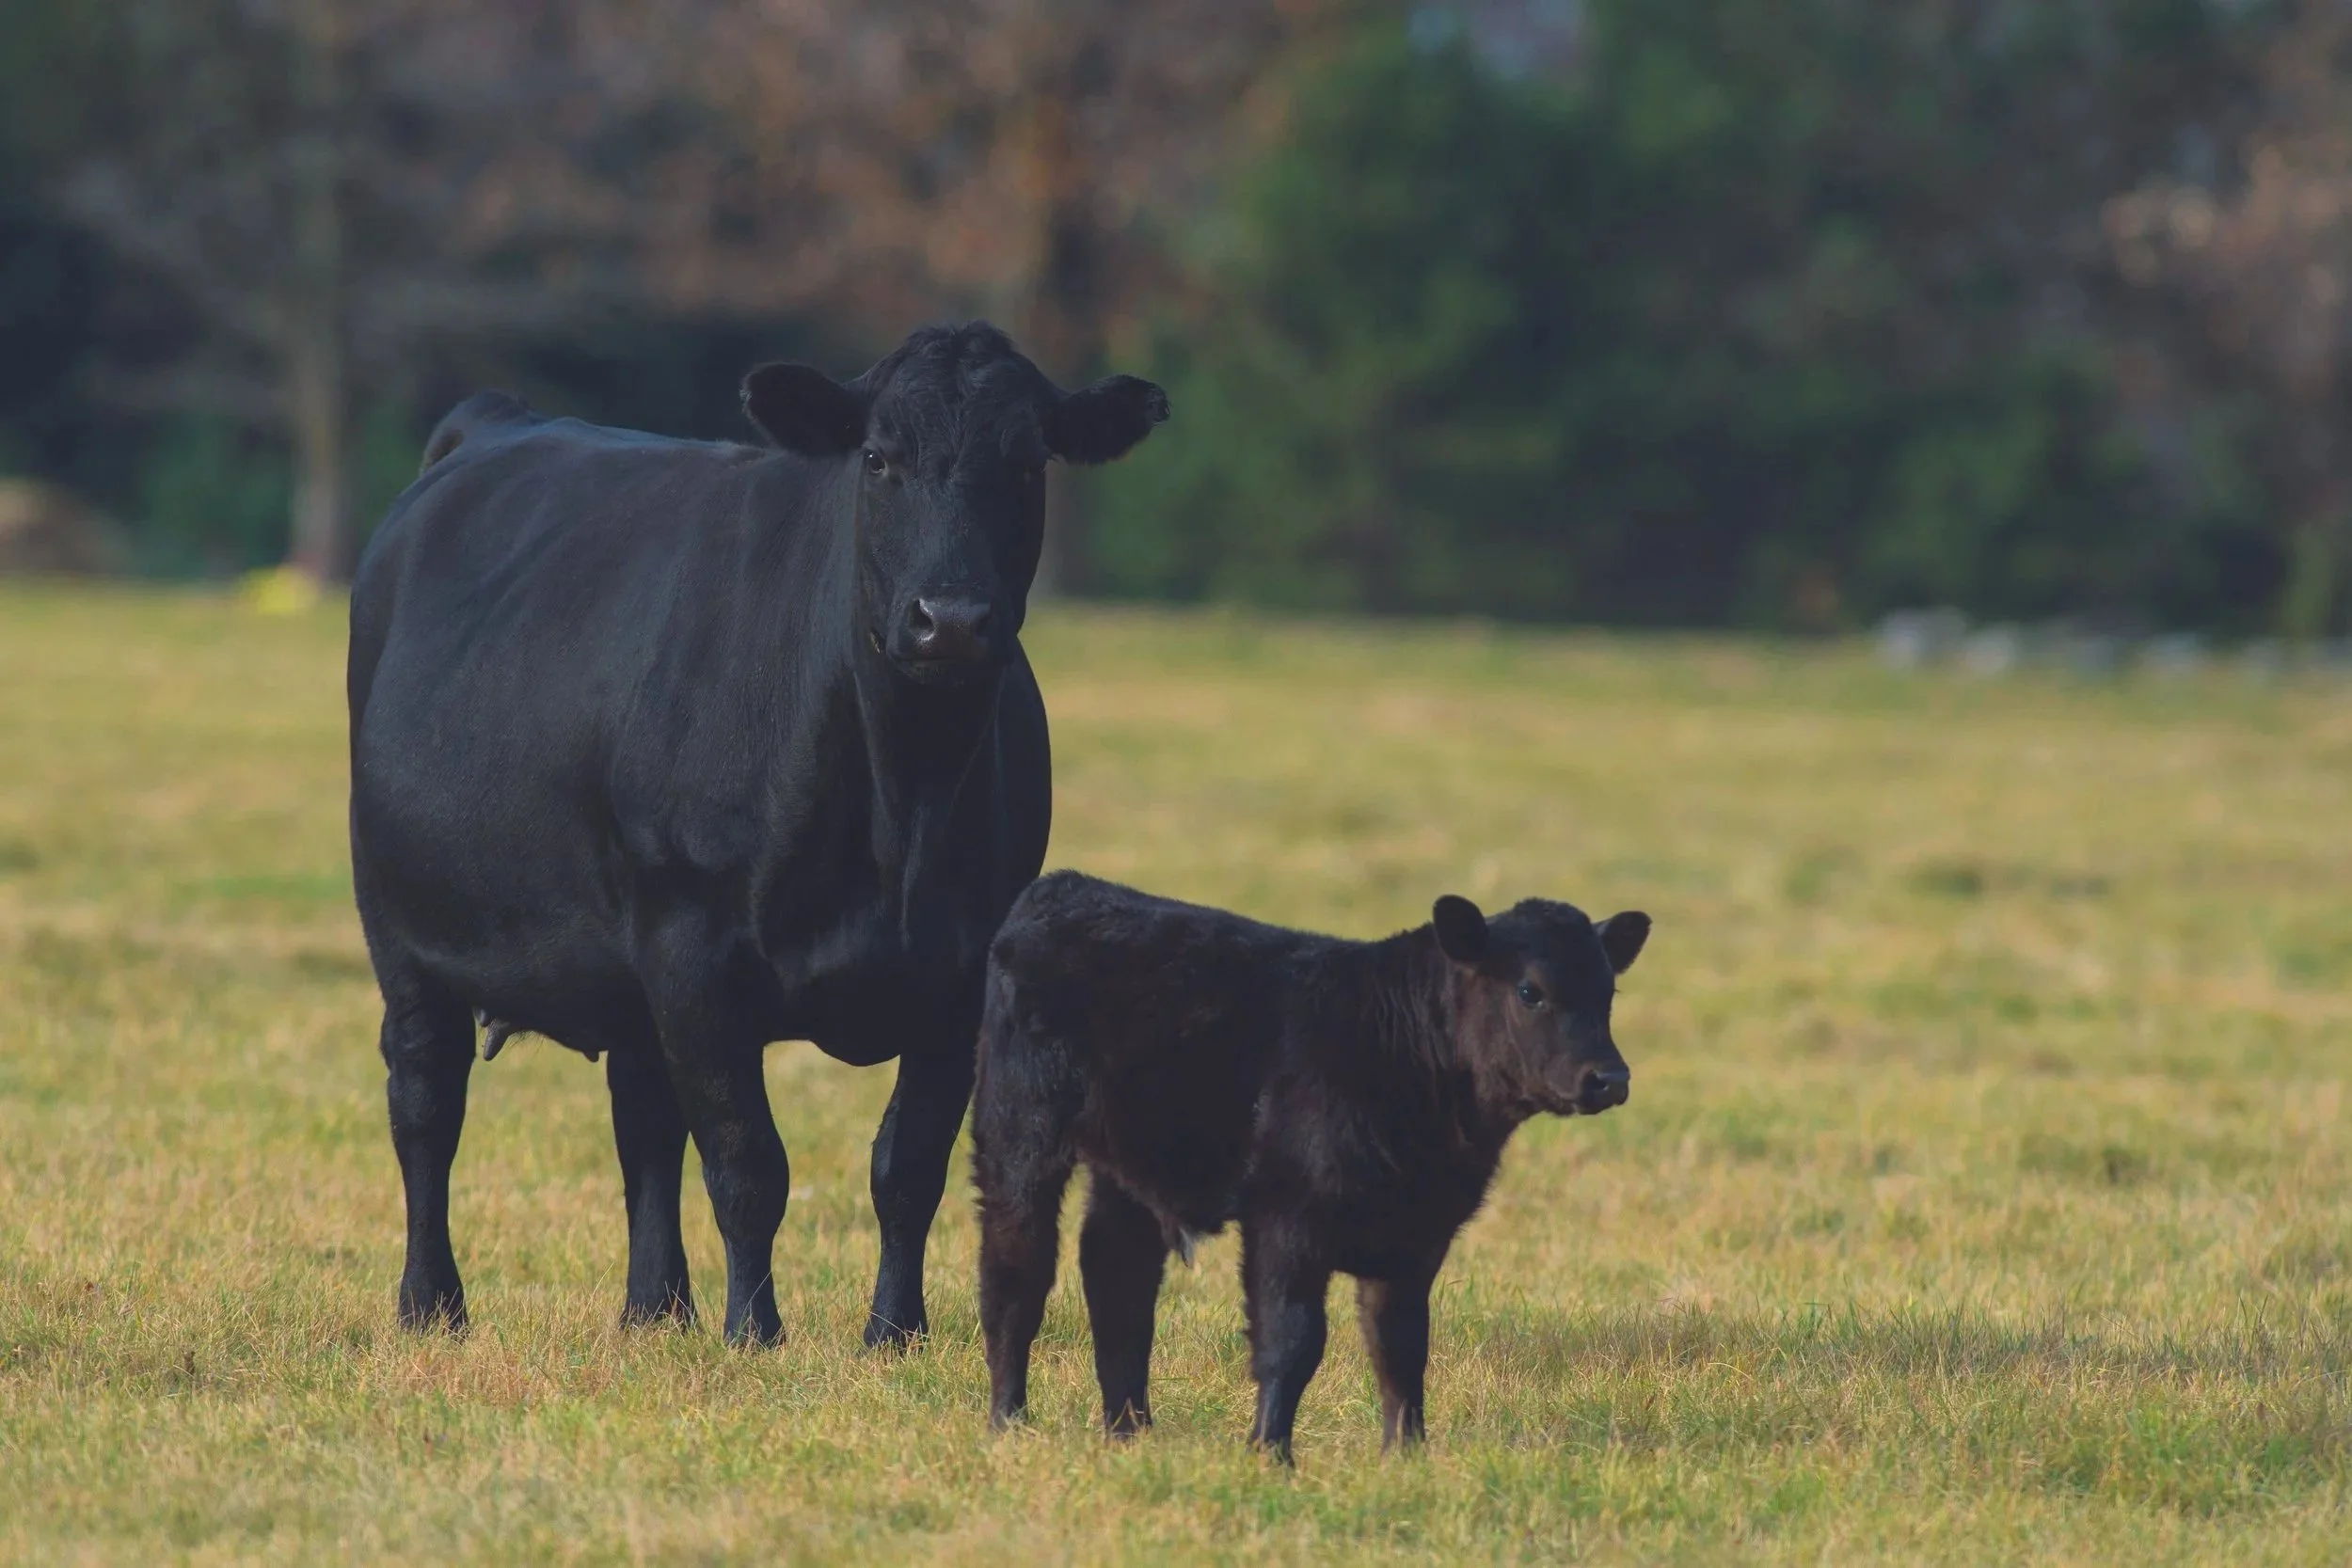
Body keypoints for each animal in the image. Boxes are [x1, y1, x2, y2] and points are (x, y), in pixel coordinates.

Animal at [347, 323, 1168, 1348]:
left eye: (1026, 463)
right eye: (877, 457)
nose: (951, 620)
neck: (900, 811)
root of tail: (495, 420)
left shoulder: (962, 971)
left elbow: (908, 1164)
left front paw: (894, 1333)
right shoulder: (695, 949)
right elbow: (747, 1162)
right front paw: (755, 1331)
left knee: (643, 1120)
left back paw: (656, 1310)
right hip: (402, 930)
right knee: (426, 1102)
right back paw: (432, 1304)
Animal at [970, 871, 1650, 1461]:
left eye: (1608, 993)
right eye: (1530, 990)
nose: (1610, 1078)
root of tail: (1064, 887)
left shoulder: (1419, 1234)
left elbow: (1401, 1343)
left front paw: (1406, 1454)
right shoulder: (1288, 1217)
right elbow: (1292, 1340)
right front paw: (1271, 1452)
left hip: (1131, 1166)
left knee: (1117, 1272)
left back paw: (1129, 1431)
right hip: (1017, 1132)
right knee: (1017, 1271)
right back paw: (1009, 1421)